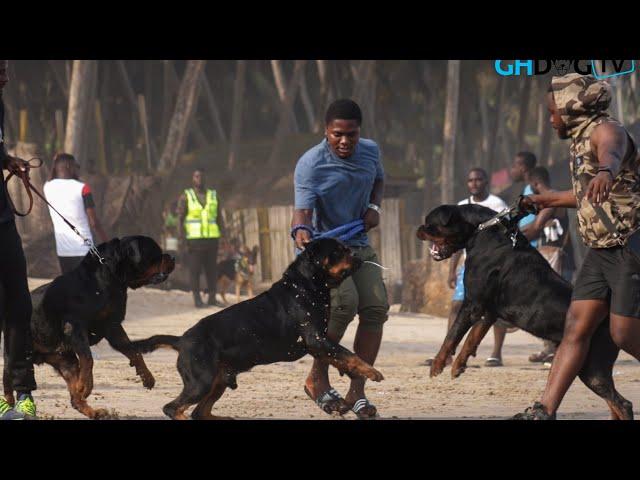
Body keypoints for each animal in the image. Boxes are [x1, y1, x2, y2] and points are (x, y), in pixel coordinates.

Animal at [1, 238, 175, 418]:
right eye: (156, 253)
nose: (172, 257)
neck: (107, 280)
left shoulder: (112, 326)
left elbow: (133, 351)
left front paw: (147, 376)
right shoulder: (75, 327)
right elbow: (88, 358)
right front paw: (86, 385)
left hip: (65, 361)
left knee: (74, 398)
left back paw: (93, 412)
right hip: (15, 353)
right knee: (7, 382)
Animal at [132, 238, 382, 418]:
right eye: (339, 251)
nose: (358, 255)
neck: (305, 286)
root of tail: (181, 340)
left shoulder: (319, 343)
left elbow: (341, 357)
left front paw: (355, 375)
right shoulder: (316, 339)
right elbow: (347, 354)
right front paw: (372, 371)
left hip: (218, 381)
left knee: (199, 412)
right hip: (201, 382)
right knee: (173, 408)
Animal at [418, 204, 632, 418]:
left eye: (429, 223)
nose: (418, 229)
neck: (480, 229)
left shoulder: (473, 304)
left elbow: (453, 335)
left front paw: (437, 364)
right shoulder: (489, 310)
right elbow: (472, 337)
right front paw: (458, 365)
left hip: (591, 367)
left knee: (622, 404)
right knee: (615, 403)